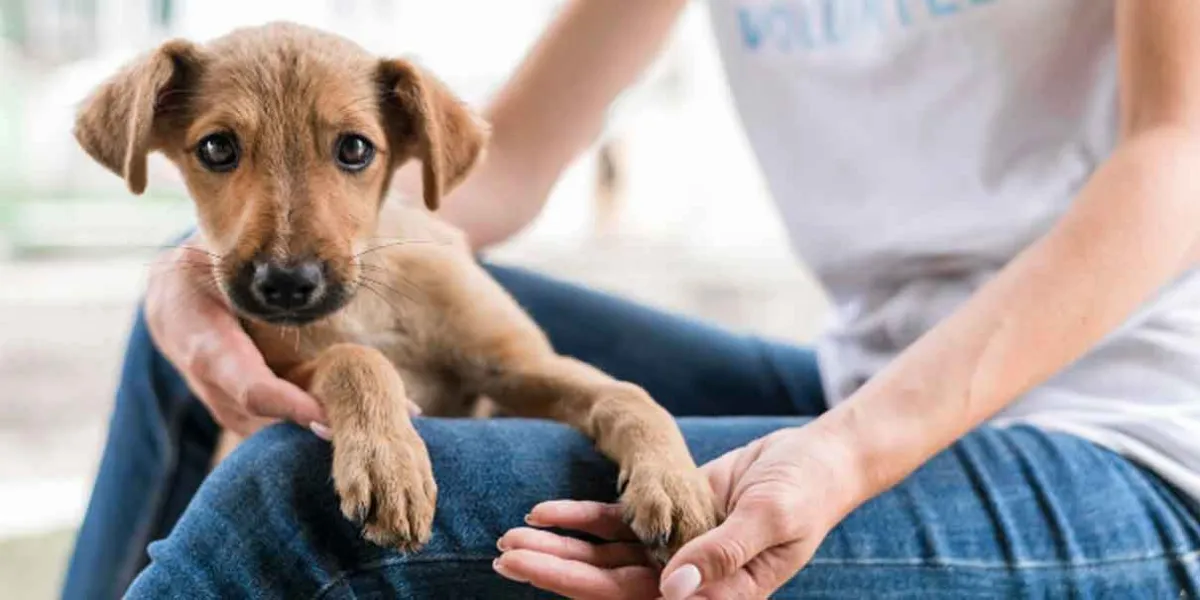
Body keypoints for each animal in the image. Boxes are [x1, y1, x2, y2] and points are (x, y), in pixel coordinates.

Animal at [75, 19, 720, 561]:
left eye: (355, 148)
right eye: (216, 148)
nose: (286, 285)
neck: (372, 302)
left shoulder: (519, 367)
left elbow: (628, 395)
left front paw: (676, 482)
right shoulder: (280, 375)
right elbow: (354, 358)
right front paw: (390, 463)